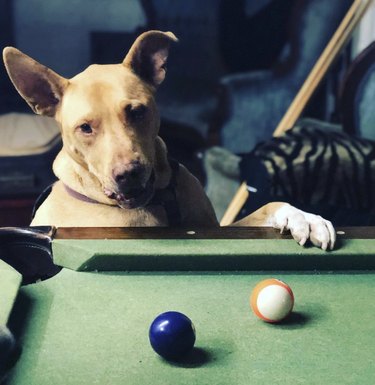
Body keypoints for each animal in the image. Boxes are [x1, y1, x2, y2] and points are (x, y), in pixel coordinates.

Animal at [2, 32, 338, 249]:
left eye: (136, 111)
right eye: (85, 128)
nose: (129, 174)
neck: (157, 200)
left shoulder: (214, 229)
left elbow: (268, 206)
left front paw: (301, 215)